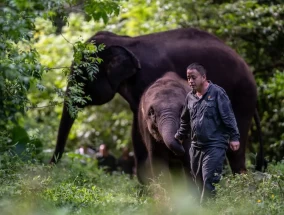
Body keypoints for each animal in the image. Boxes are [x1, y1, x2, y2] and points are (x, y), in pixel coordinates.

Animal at [50, 27, 262, 184]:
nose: (51, 166)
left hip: (241, 98)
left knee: (235, 149)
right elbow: (138, 127)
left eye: (81, 77)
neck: (123, 41)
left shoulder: (149, 74)